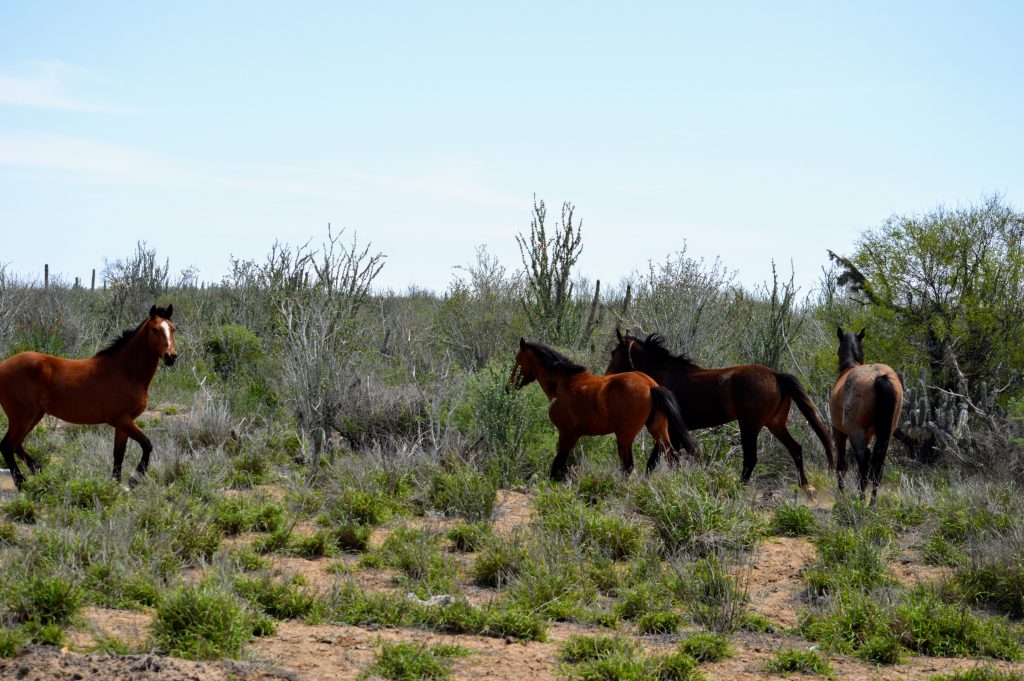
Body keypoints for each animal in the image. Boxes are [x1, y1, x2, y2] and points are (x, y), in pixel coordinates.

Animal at [0, 303, 178, 489]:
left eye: (172, 328)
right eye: (155, 329)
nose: (171, 356)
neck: (126, 371)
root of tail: (3, 364)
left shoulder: (123, 423)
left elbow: (119, 454)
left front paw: (116, 484)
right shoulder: (121, 419)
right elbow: (147, 444)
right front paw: (134, 479)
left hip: (34, 415)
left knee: (15, 445)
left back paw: (37, 470)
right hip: (22, 417)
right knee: (7, 446)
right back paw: (22, 483)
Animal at [509, 337, 700, 477]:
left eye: (518, 360)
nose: (509, 386)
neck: (564, 382)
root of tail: (651, 386)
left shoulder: (567, 433)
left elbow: (558, 465)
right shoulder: (574, 435)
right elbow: (561, 465)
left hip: (625, 436)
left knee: (627, 466)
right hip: (658, 430)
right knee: (672, 459)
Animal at [606, 327, 831, 491]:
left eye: (614, 353)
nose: (607, 376)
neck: (664, 377)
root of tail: (776, 375)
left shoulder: (671, 430)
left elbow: (657, 458)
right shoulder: (673, 431)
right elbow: (659, 459)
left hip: (749, 425)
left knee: (751, 458)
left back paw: (738, 488)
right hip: (775, 423)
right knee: (795, 448)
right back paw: (806, 488)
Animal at [831, 329, 905, 503]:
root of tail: (881, 377)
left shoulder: (838, 431)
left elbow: (841, 464)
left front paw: (842, 494)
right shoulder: (869, 434)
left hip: (854, 430)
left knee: (863, 458)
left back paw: (860, 499)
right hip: (887, 433)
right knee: (878, 463)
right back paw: (871, 502)